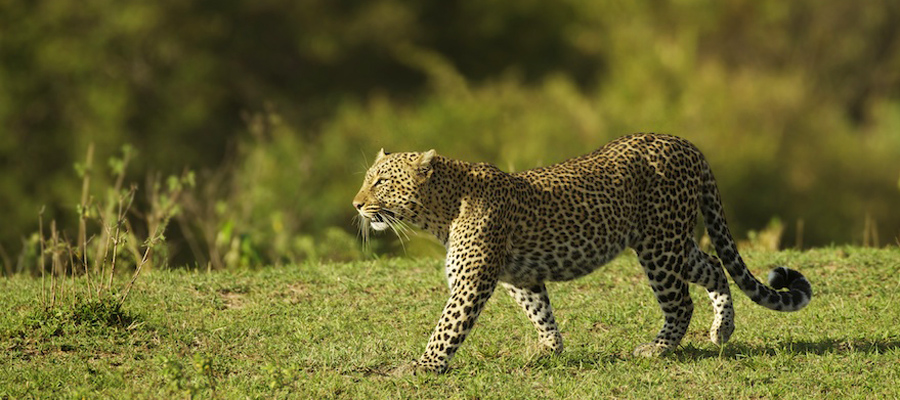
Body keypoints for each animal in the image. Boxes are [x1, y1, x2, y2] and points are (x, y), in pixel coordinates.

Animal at [354, 133, 816, 374]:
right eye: (367, 180)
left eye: (381, 183)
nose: (357, 205)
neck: (442, 210)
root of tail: (685, 143)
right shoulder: (518, 276)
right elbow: (539, 310)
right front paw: (548, 349)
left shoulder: (473, 281)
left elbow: (447, 327)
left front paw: (423, 367)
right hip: (673, 240)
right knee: (715, 266)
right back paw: (722, 330)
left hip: (658, 246)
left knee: (681, 301)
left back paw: (658, 348)